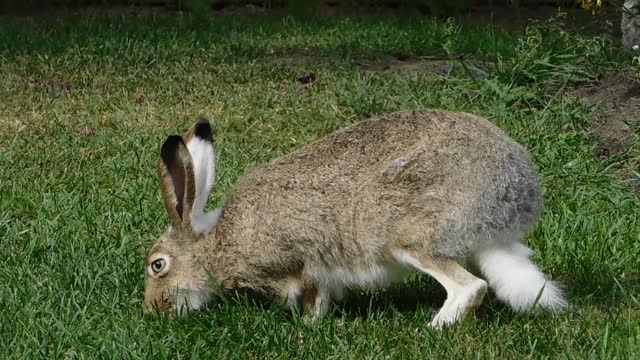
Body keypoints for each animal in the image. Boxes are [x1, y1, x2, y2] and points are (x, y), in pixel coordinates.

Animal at [145, 110, 564, 330]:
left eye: (157, 265)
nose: (154, 311)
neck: (216, 245)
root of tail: (513, 193)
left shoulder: (301, 265)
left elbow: (312, 295)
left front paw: (307, 326)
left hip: (410, 238)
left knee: (470, 287)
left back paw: (433, 328)